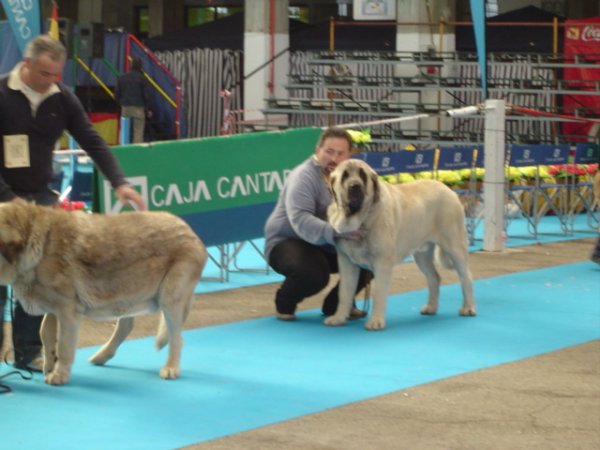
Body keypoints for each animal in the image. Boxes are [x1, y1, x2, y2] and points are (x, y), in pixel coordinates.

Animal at [0, 202, 209, 384]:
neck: (37, 241)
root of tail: (189, 229)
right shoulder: (52, 308)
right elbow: (45, 333)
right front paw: (49, 364)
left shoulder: (67, 311)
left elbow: (64, 346)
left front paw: (59, 374)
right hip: (127, 294)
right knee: (127, 326)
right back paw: (101, 356)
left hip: (169, 297)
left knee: (176, 337)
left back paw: (171, 367)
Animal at [326, 159, 476, 330]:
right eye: (344, 176)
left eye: (362, 175)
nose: (354, 186)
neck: (360, 218)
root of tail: (449, 190)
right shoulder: (346, 262)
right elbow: (344, 292)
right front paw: (338, 318)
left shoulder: (382, 263)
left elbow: (378, 293)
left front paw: (376, 321)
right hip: (422, 255)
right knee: (434, 277)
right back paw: (431, 307)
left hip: (454, 246)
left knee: (465, 276)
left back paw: (468, 307)